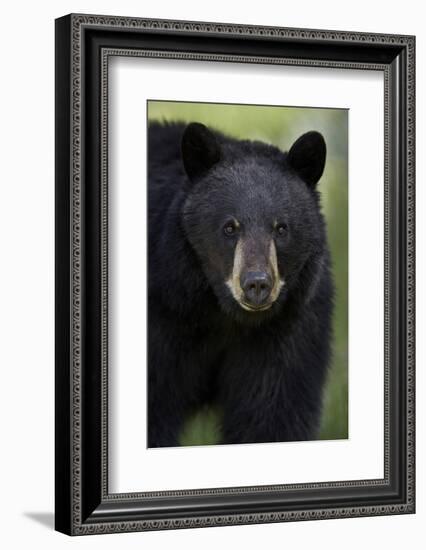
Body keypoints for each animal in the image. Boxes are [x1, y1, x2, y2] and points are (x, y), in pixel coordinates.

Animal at [147, 121, 332, 448]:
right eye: (229, 227)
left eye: (281, 228)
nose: (257, 284)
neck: (223, 315)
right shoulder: (164, 311)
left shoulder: (291, 326)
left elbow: (273, 412)